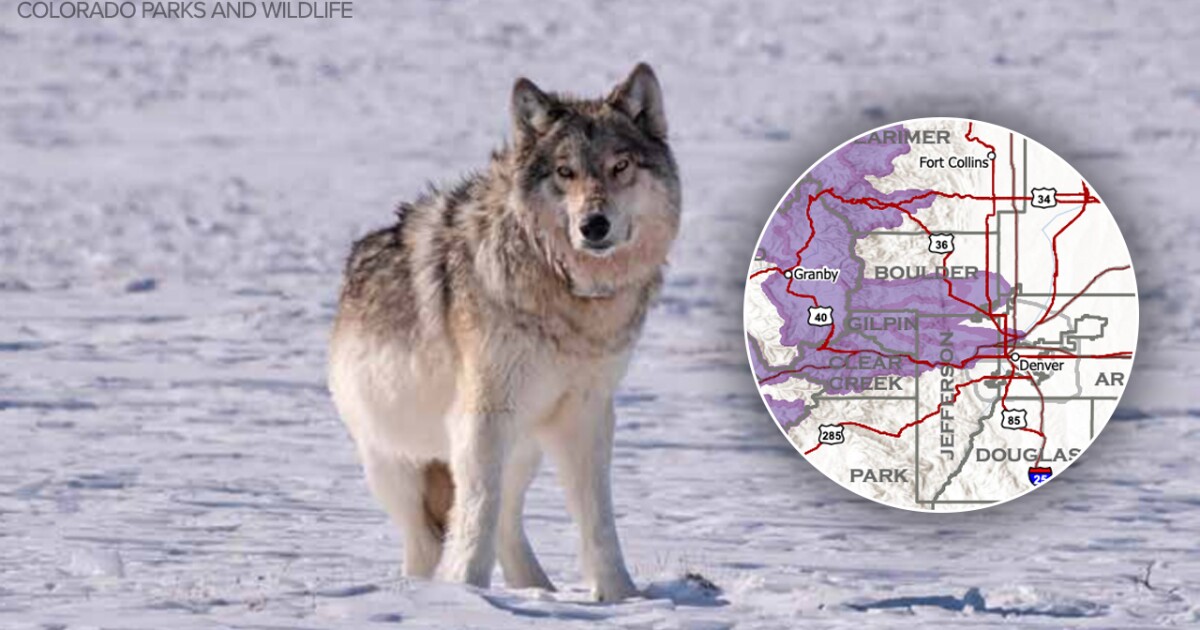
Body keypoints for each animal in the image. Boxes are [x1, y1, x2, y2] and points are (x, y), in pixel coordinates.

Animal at [328, 63, 680, 602]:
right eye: (564, 172)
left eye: (620, 166)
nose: (593, 225)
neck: (569, 296)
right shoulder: (484, 414)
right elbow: (477, 511)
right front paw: (466, 592)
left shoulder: (588, 414)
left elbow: (596, 519)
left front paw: (622, 597)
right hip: (396, 462)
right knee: (432, 536)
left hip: (522, 447)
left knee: (507, 521)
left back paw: (539, 588)